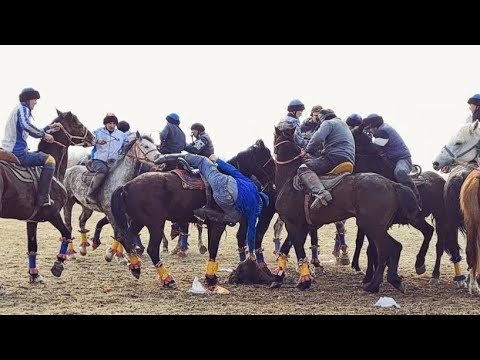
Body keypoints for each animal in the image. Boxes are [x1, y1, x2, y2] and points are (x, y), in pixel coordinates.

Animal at [0, 109, 94, 292]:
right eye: (78, 124)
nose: (92, 137)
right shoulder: (53, 214)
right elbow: (66, 234)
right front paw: (58, 264)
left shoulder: (32, 220)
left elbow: (32, 247)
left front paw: (35, 275)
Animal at [61, 132, 159, 262]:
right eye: (146, 146)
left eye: (156, 145)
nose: (159, 157)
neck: (119, 182)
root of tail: (68, 170)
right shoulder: (110, 213)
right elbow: (118, 233)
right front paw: (111, 255)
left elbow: (124, 232)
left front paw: (120, 255)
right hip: (68, 204)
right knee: (68, 226)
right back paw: (70, 253)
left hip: (87, 207)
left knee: (82, 221)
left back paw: (83, 249)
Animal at [109, 139, 274, 288]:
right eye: (268, 158)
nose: (272, 182)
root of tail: (127, 186)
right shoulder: (218, 224)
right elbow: (213, 249)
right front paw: (211, 278)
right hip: (155, 225)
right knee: (152, 249)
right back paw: (167, 279)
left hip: (138, 221)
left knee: (123, 237)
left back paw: (135, 267)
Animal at [272, 126, 418, 292]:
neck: (290, 180)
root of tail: (393, 185)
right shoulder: (301, 226)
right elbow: (286, 249)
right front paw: (279, 278)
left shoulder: (293, 224)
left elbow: (298, 250)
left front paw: (303, 282)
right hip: (377, 228)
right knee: (388, 250)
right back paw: (389, 281)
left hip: (373, 227)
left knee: (389, 249)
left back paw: (374, 284)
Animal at [348, 128, 458, 286]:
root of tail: (442, 180)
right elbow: (367, 246)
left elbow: (372, 249)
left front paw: (371, 277)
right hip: (416, 219)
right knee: (428, 231)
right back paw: (419, 264)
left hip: (440, 217)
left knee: (439, 246)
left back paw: (434, 275)